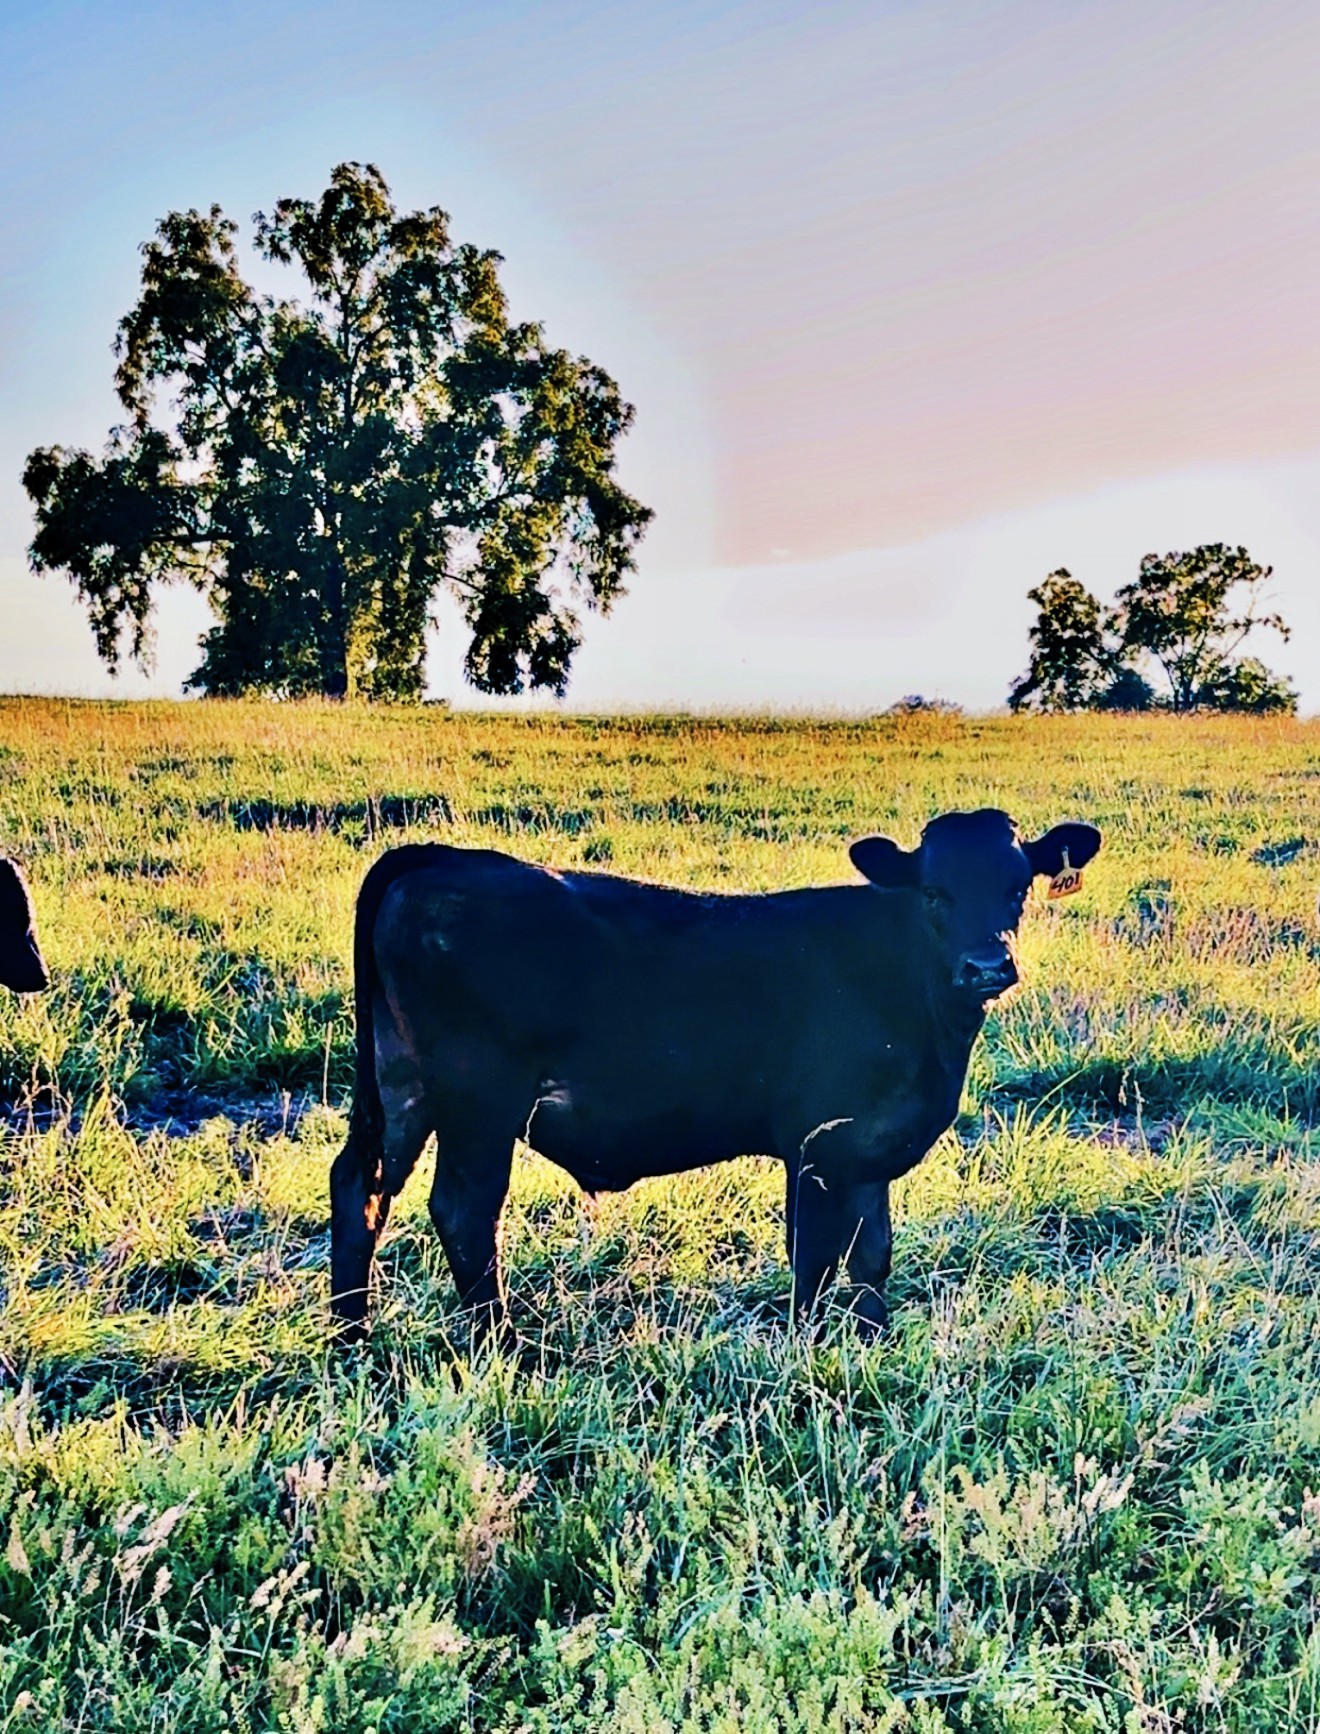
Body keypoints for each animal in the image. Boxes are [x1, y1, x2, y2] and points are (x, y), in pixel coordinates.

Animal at [329, 809, 1101, 1342]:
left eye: (1019, 887)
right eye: (935, 892)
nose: (988, 966)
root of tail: (440, 857)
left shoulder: (867, 1149)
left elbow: (871, 1256)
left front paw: (872, 1342)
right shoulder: (815, 1146)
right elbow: (814, 1259)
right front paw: (809, 1348)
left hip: (403, 1087)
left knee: (360, 1186)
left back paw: (352, 1336)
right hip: (479, 1105)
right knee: (463, 1212)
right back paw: (508, 1348)